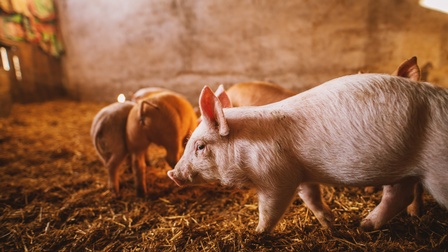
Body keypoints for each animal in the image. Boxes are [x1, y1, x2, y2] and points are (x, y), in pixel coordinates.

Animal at [168, 73, 448, 232]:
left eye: (200, 146)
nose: (173, 174)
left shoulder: (277, 177)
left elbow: (270, 208)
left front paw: (256, 233)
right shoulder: (300, 173)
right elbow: (311, 197)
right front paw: (330, 224)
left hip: (438, 170)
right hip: (403, 171)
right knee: (398, 194)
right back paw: (363, 226)